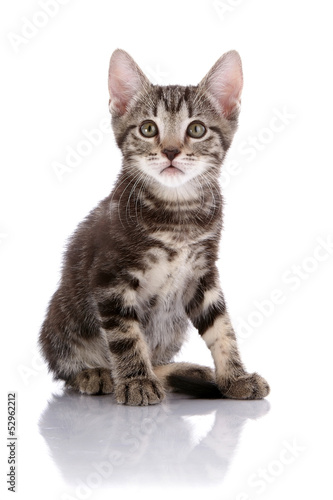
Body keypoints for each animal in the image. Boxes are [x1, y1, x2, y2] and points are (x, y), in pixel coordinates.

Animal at [39, 47, 268, 406]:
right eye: (148, 129)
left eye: (197, 129)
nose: (171, 151)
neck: (178, 214)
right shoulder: (110, 278)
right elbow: (125, 335)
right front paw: (136, 381)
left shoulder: (203, 273)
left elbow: (222, 326)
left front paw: (235, 377)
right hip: (60, 317)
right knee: (66, 364)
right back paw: (97, 373)